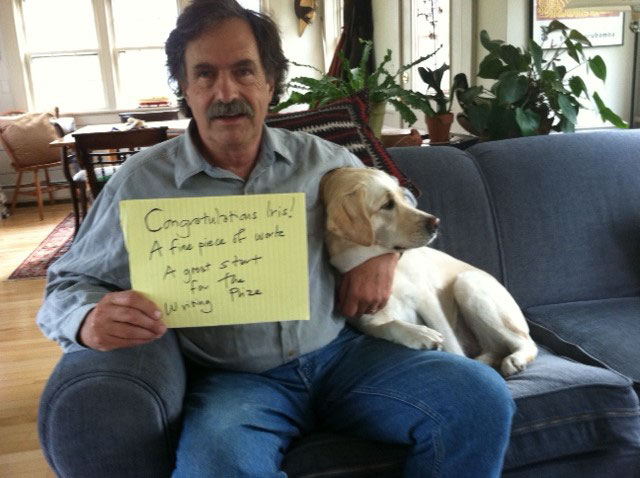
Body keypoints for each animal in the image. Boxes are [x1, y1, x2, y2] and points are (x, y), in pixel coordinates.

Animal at [318, 168, 536, 378]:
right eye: (387, 204)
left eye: (403, 196)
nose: (436, 222)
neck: (366, 260)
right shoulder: (366, 320)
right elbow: (390, 325)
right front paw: (420, 335)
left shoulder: (428, 301)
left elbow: (451, 344)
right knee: (495, 349)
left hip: (467, 284)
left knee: (525, 341)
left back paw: (515, 359)